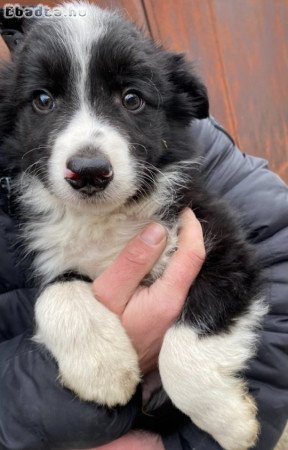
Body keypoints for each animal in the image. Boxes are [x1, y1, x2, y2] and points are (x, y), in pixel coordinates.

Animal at [0, 1, 266, 448]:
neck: (105, 220)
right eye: (43, 100)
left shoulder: (223, 246)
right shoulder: (48, 251)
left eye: (132, 98)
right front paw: (103, 368)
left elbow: (183, 347)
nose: (89, 172)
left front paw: (230, 423)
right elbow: (55, 292)